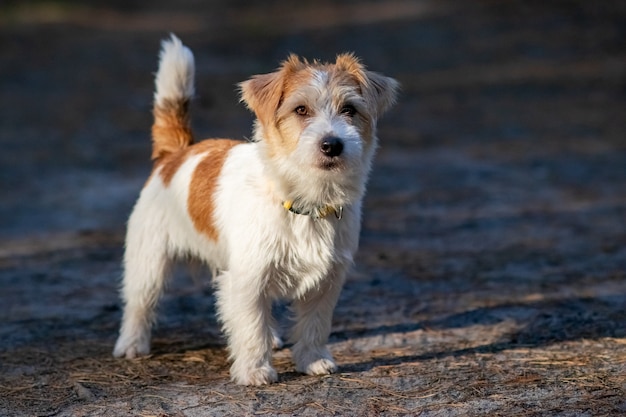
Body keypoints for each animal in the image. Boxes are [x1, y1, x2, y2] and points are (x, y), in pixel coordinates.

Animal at [112, 34, 398, 386]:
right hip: (149, 260)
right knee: (139, 303)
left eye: (350, 109)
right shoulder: (248, 277)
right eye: (300, 109)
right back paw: (131, 343)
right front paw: (254, 370)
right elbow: (250, 328)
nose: (332, 145)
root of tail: (176, 153)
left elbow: (315, 325)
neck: (305, 201)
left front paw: (313, 360)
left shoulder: (327, 281)